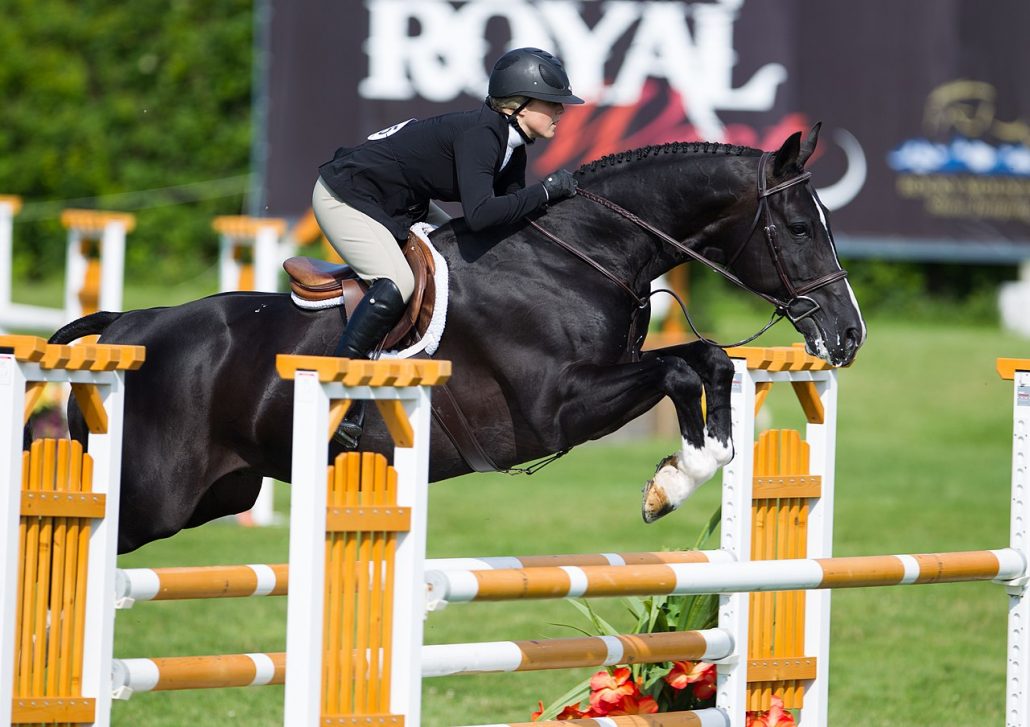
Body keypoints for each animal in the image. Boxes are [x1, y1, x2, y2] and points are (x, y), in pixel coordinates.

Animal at [54, 124, 861, 547]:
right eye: (798, 227)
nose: (848, 335)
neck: (579, 253)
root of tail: (128, 324)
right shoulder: (557, 408)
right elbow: (684, 367)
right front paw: (671, 481)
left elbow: (710, 361)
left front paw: (684, 469)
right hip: (150, 497)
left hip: (221, 491)